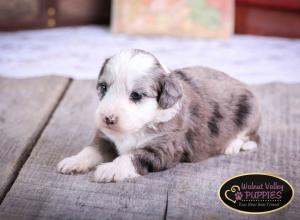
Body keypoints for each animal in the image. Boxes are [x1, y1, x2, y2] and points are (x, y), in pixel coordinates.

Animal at [56, 49, 260, 183]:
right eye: (103, 87)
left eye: (136, 95)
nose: (108, 118)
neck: (139, 126)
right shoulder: (106, 138)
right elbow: (91, 150)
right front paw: (74, 161)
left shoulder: (164, 148)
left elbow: (131, 156)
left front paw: (110, 169)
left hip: (250, 112)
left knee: (253, 138)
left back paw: (232, 145)